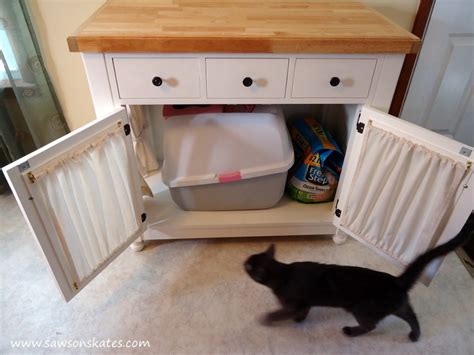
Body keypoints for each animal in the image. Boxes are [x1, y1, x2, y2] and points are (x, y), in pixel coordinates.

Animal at [246, 214, 472, 342]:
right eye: (250, 259)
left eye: (249, 266)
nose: (243, 262)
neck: (283, 273)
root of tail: (396, 280)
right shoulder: (305, 301)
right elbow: (304, 309)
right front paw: (300, 319)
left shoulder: (292, 302)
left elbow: (280, 312)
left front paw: (267, 319)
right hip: (396, 305)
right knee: (412, 316)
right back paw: (415, 336)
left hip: (363, 309)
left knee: (371, 326)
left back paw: (350, 331)